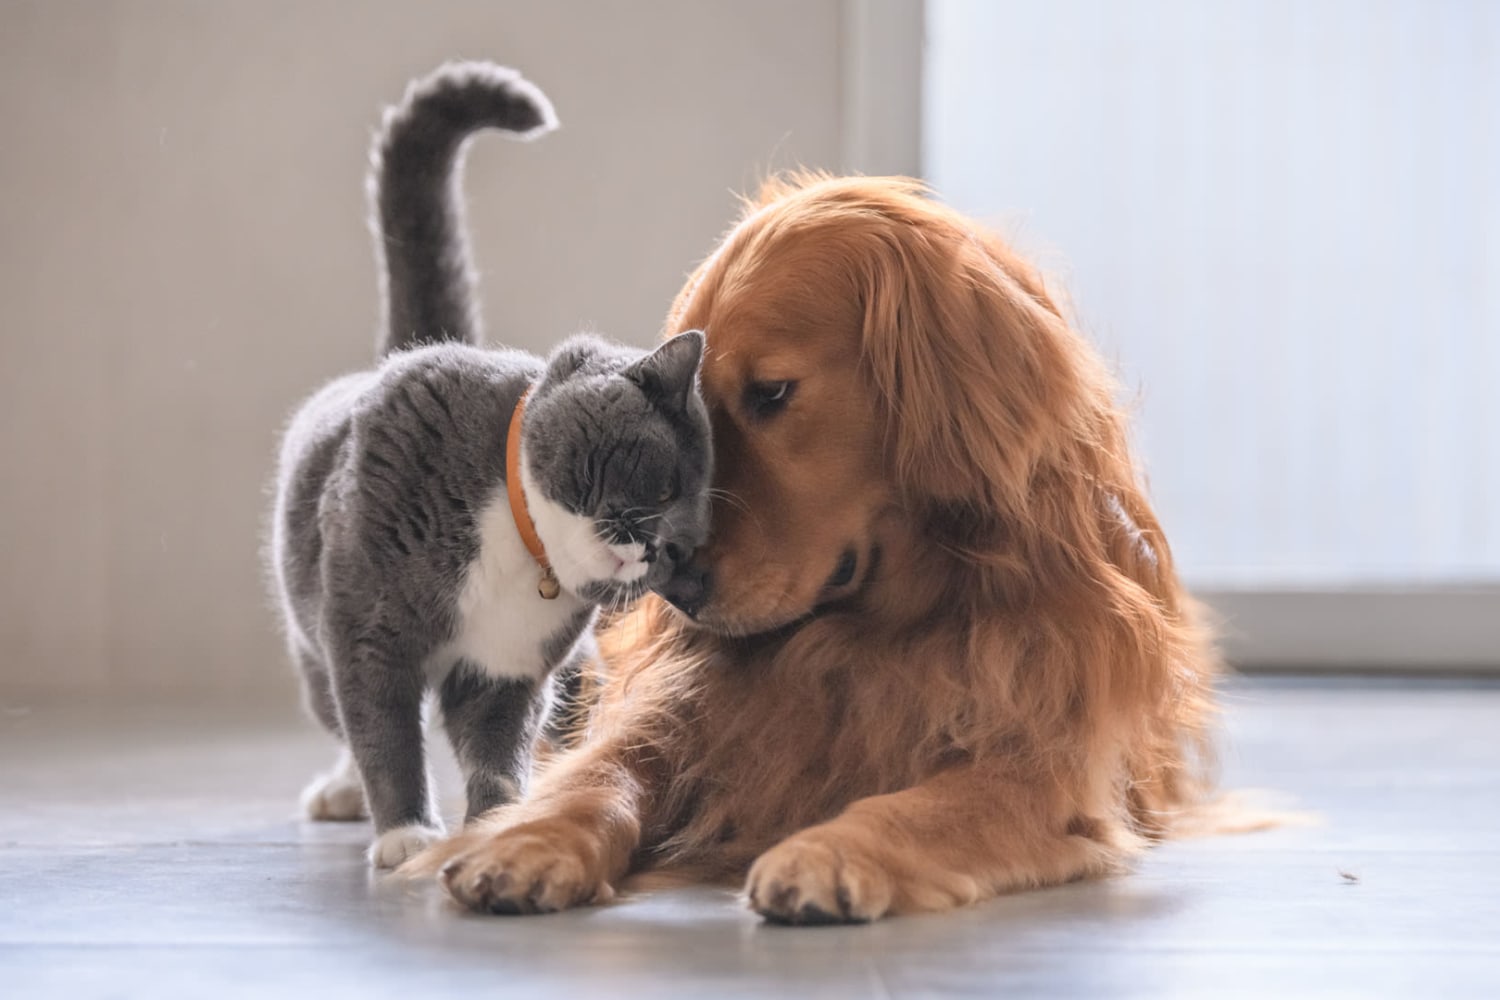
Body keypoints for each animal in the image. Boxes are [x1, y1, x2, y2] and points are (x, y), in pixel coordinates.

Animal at [267, 64, 711, 869]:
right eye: (664, 487)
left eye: (689, 544)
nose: (659, 549)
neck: (516, 541)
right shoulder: (367, 629)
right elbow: (383, 729)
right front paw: (406, 833)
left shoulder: (509, 667)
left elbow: (496, 747)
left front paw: (497, 824)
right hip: (311, 630)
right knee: (339, 712)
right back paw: (344, 792)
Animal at [414, 170, 1218, 923]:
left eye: (771, 393)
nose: (674, 589)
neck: (872, 630)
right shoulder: (678, 713)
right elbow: (598, 775)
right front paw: (524, 841)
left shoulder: (1043, 765)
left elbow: (922, 805)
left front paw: (829, 853)